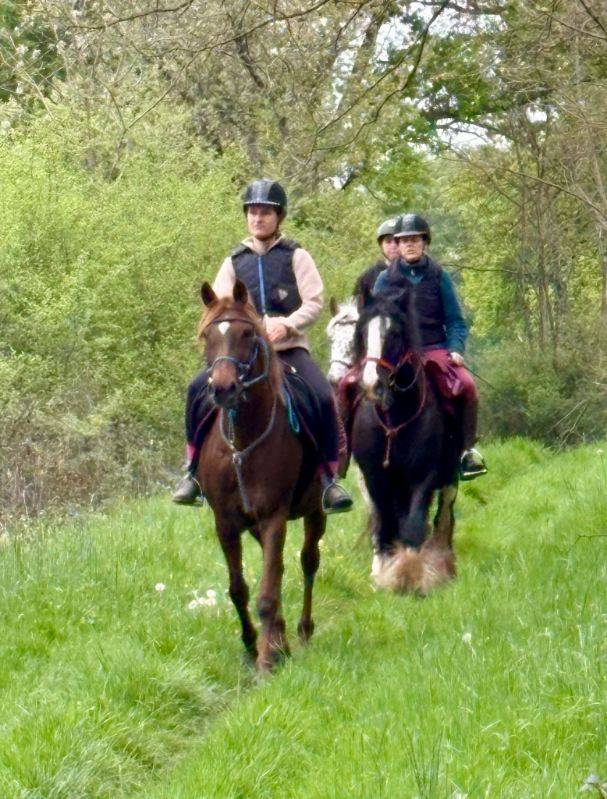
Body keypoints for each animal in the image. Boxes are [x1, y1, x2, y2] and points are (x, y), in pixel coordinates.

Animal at [196, 279, 326, 671]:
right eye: (208, 334)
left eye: (247, 333)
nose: (223, 388)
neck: (243, 443)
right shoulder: (225, 522)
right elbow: (239, 589)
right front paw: (253, 647)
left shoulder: (273, 516)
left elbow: (268, 592)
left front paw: (267, 661)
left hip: (316, 510)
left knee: (308, 561)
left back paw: (301, 631)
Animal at [350, 283, 461, 595]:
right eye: (362, 331)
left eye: (395, 334)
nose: (371, 384)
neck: (394, 421)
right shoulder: (375, 479)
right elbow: (385, 524)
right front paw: (387, 575)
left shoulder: (423, 476)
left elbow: (413, 526)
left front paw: (411, 575)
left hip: (448, 477)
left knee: (443, 516)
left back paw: (443, 561)